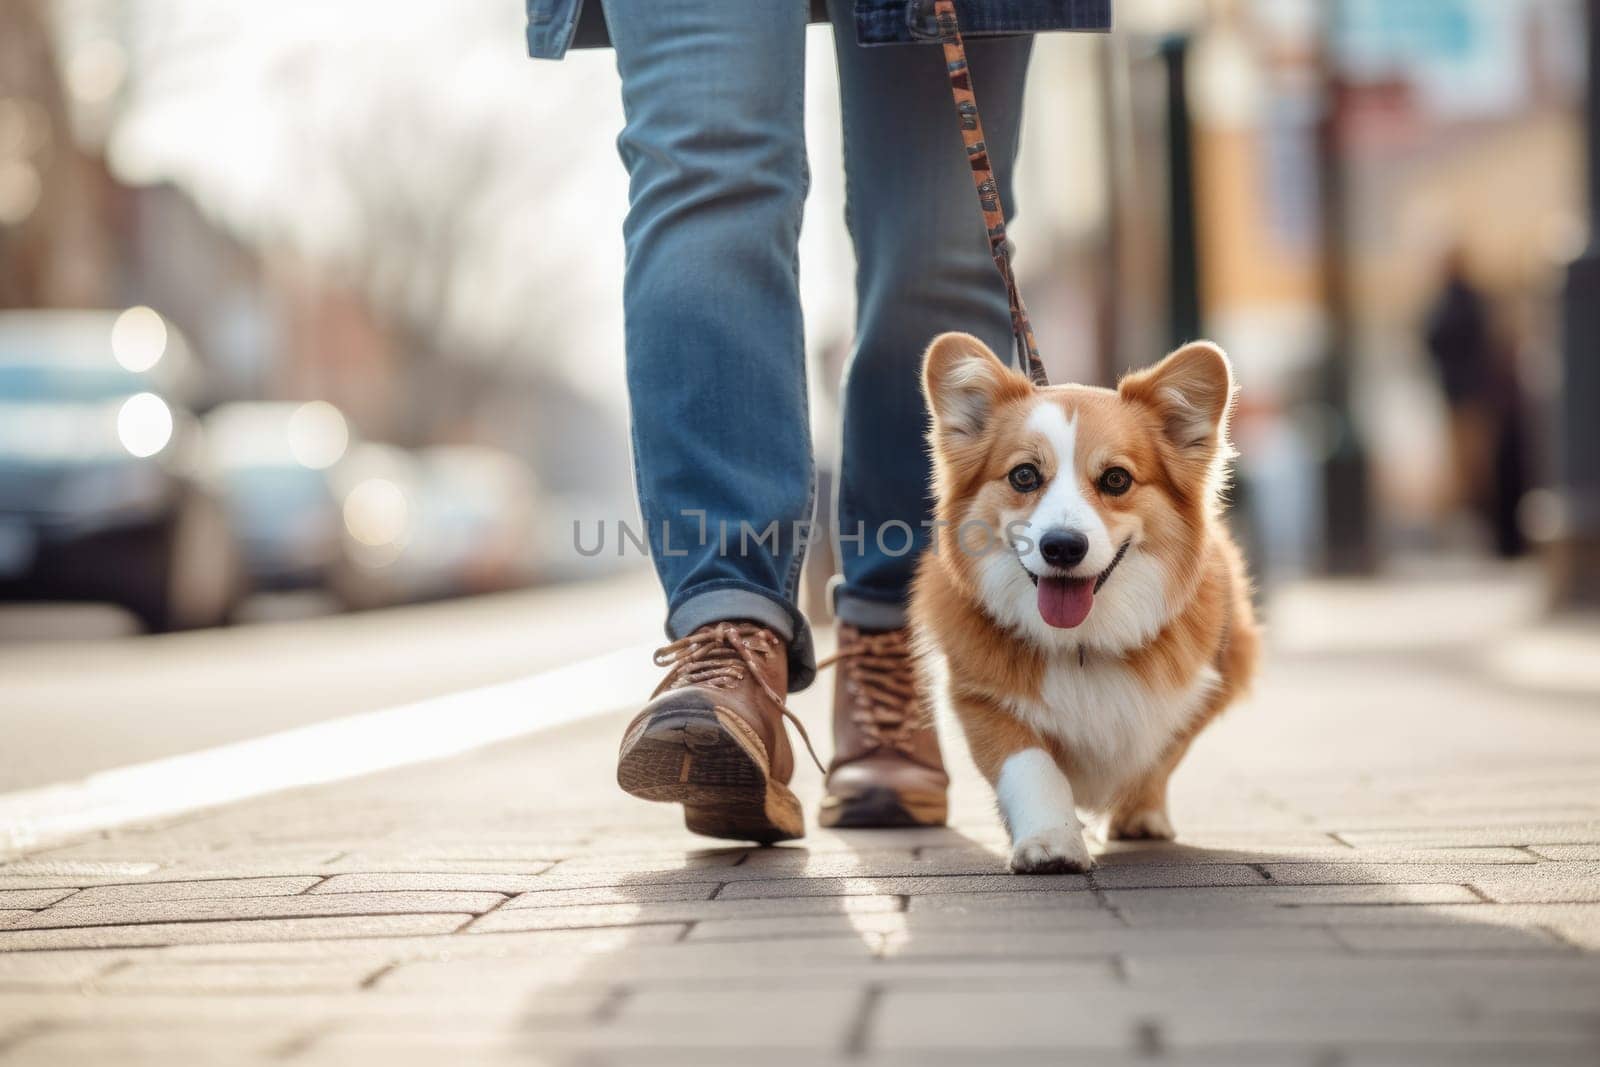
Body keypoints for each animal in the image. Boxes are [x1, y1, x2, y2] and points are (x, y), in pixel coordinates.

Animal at [908, 334, 1254, 876]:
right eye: (1024, 476)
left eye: (1115, 479)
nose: (1062, 546)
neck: (1082, 640)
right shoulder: (982, 696)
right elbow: (1031, 767)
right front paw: (1051, 842)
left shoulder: (1201, 685)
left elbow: (1161, 752)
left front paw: (1136, 808)